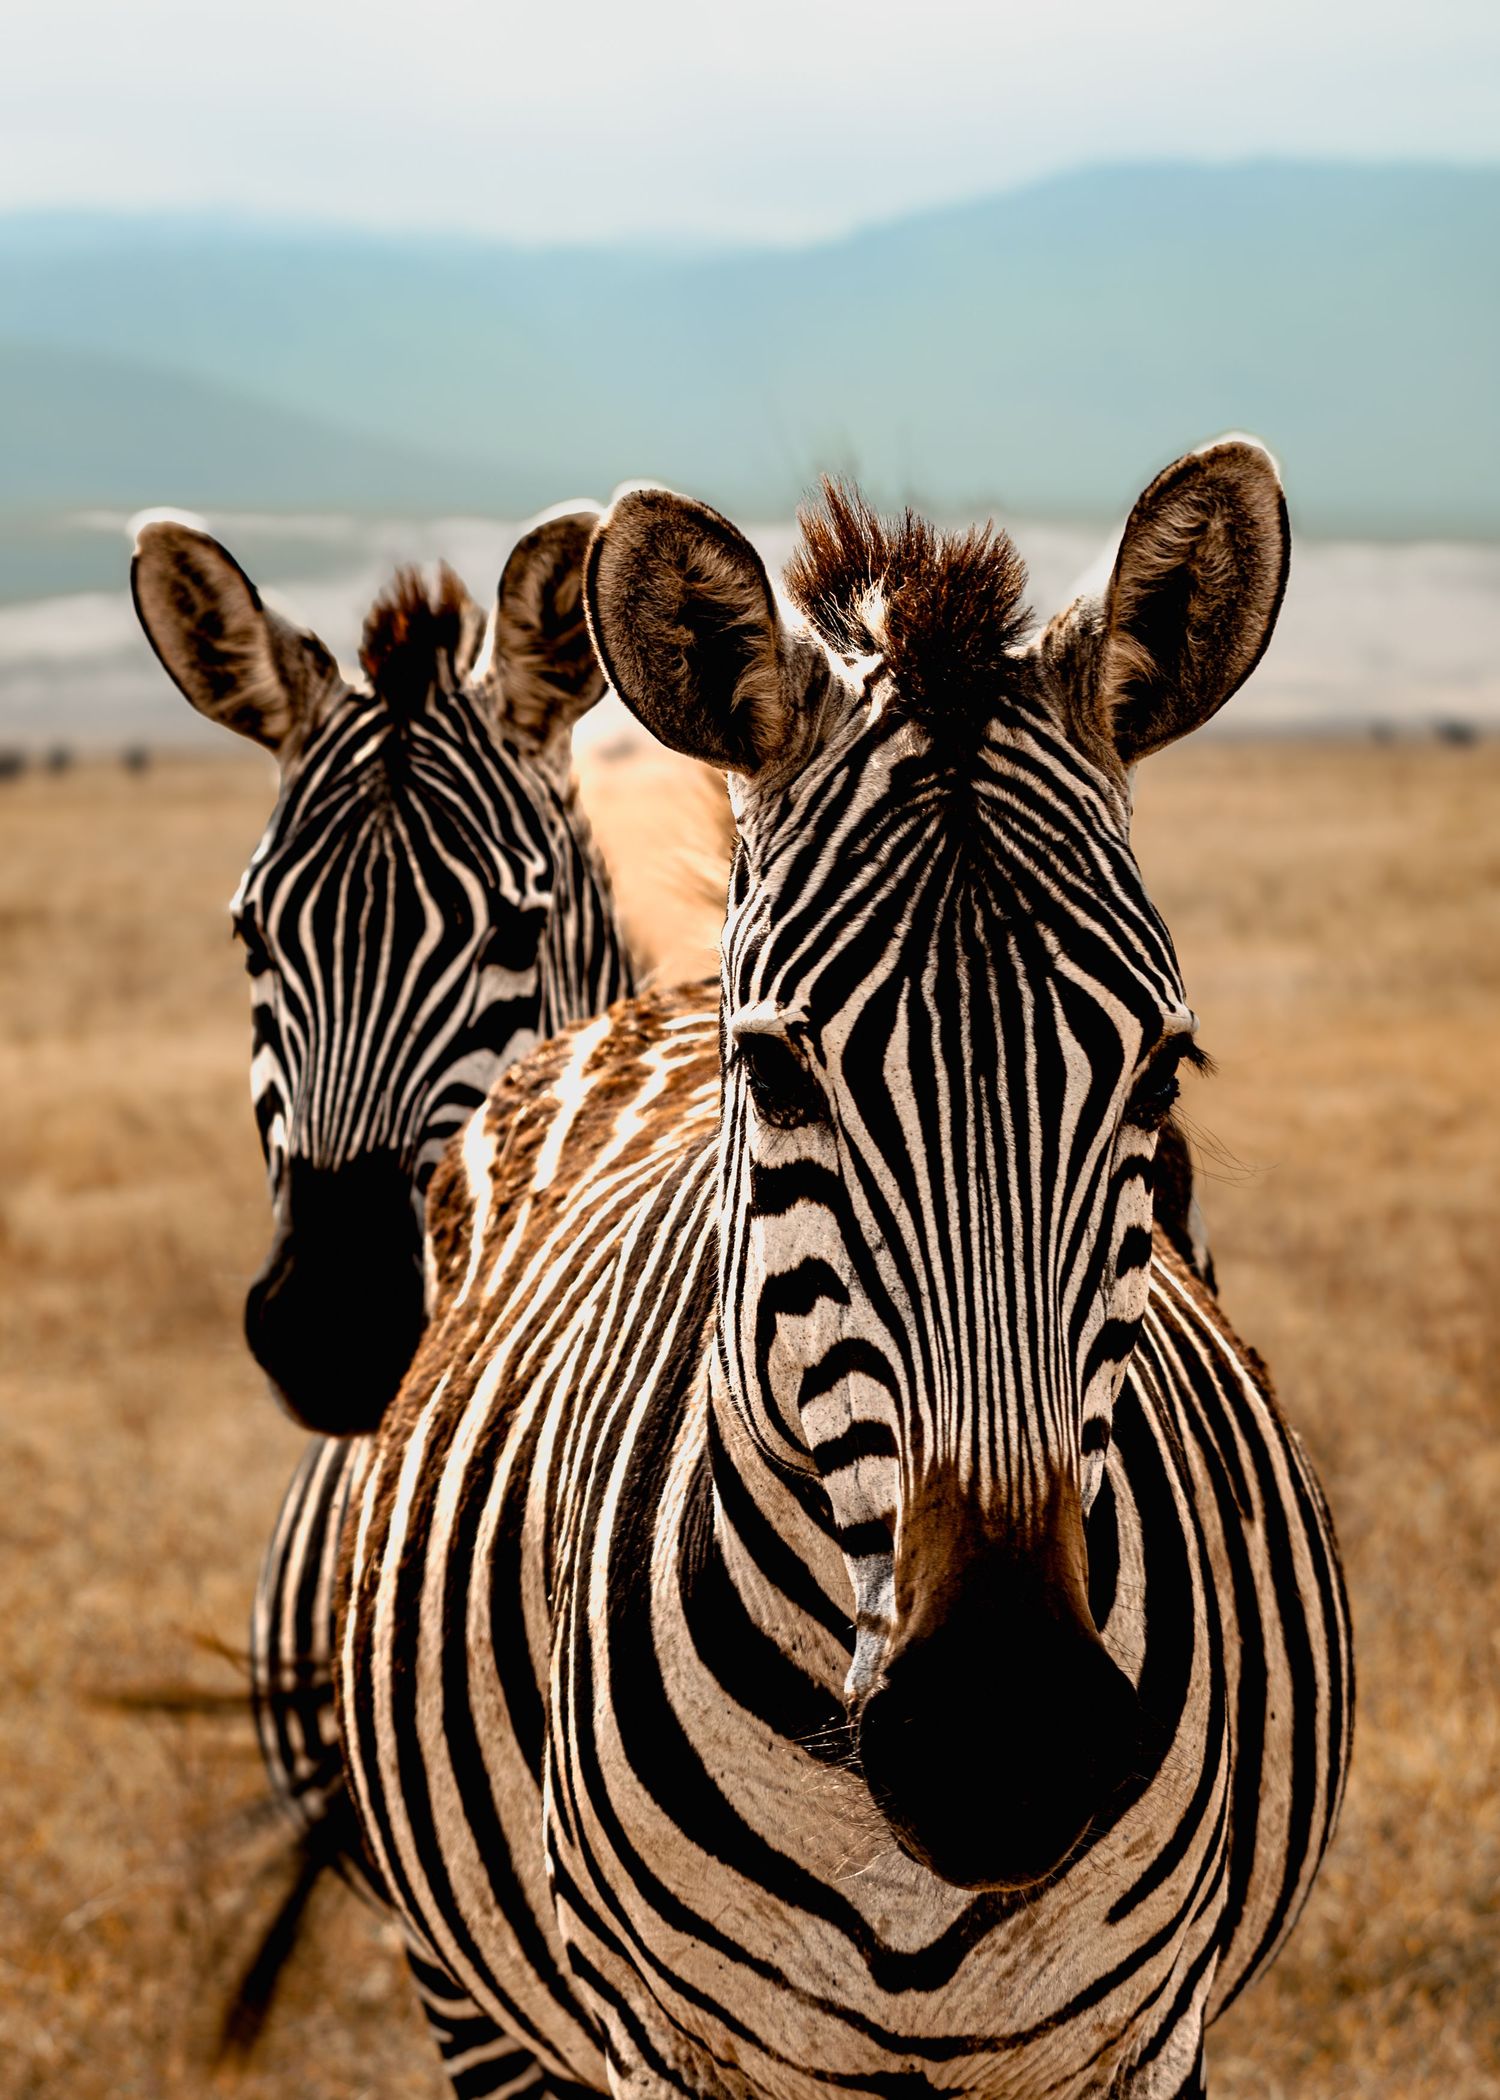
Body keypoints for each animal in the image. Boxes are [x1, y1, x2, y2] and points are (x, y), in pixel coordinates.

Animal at [335, 440, 1352, 2100]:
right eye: (776, 1073)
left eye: (1162, 1075)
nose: (1002, 1739)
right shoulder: (657, 2046)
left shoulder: (1152, 2036)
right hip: (472, 1990)